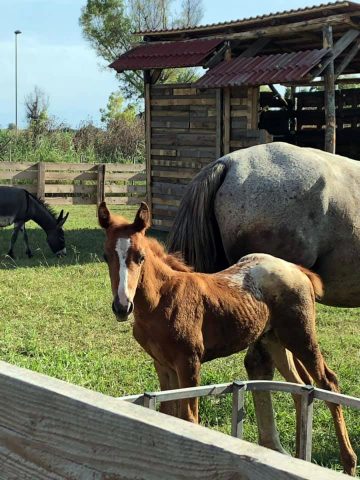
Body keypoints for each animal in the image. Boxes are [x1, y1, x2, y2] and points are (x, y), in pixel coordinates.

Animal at [98, 202, 358, 476]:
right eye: (106, 256)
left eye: (140, 257)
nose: (122, 306)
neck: (161, 299)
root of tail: (295, 268)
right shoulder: (162, 364)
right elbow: (167, 414)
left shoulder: (189, 362)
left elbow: (189, 418)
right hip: (275, 341)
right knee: (300, 388)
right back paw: (299, 457)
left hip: (301, 336)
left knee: (327, 383)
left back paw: (348, 462)